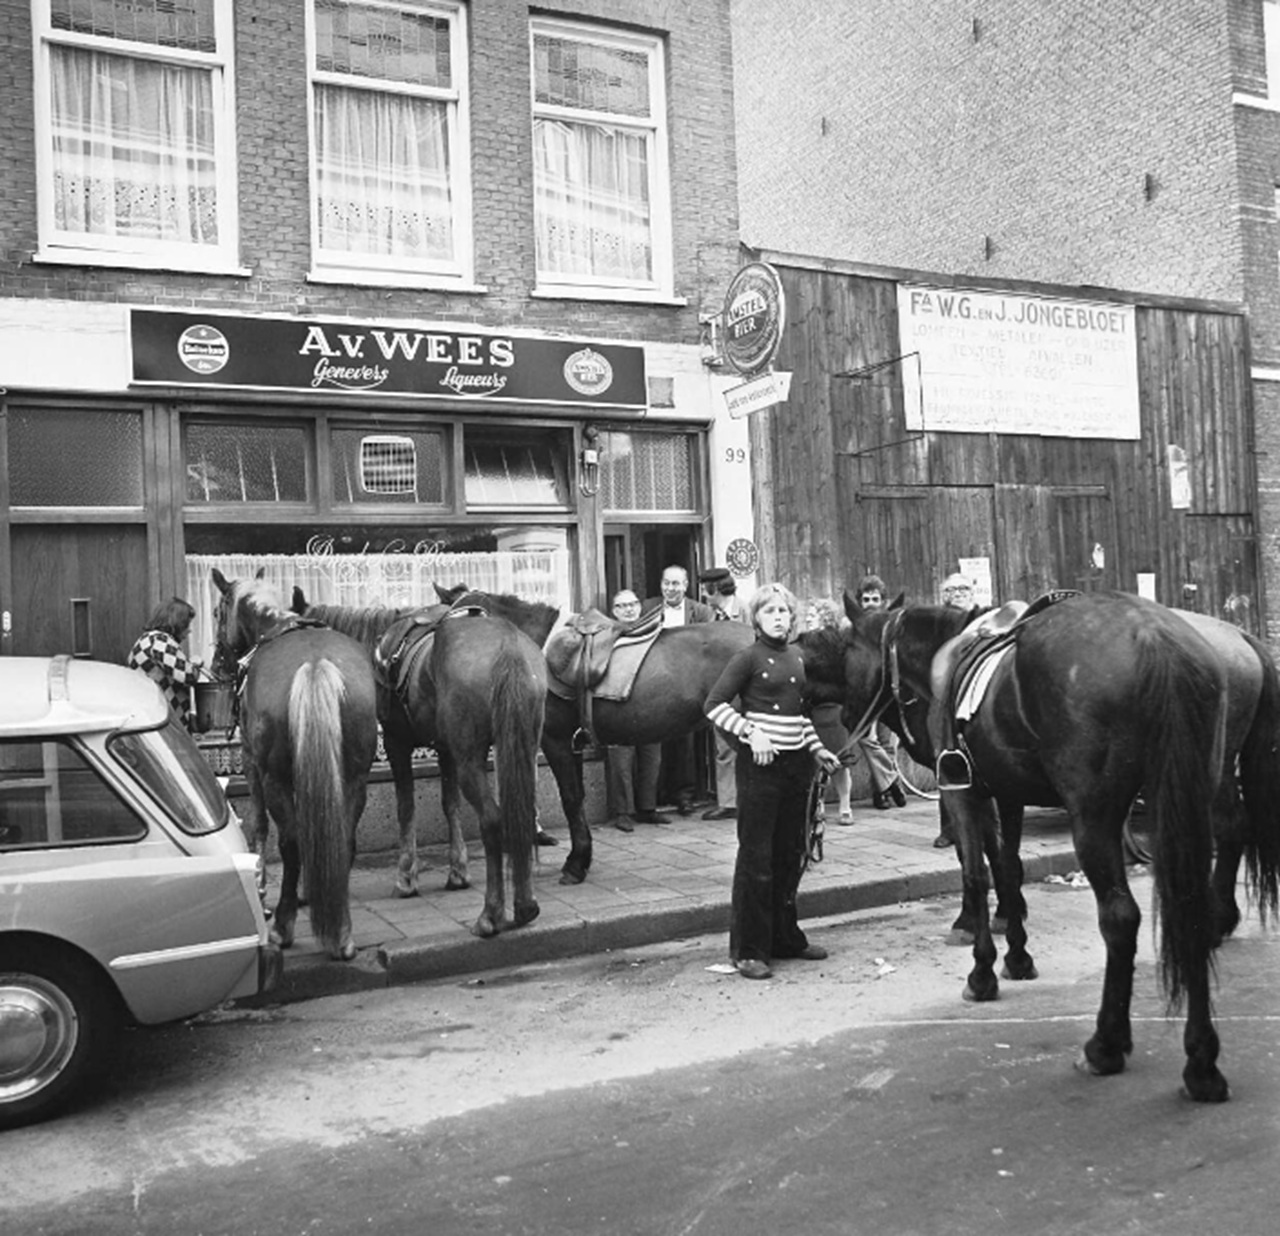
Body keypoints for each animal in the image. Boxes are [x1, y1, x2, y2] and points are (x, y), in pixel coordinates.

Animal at [209, 570, 376, 967]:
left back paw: (283, 926)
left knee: (291, 841)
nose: (216, 664)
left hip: (276, 778)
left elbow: (259, 824)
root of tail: (315, 664)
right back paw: (340, 928)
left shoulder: (251, 762)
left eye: (217, 612)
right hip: (354, 777)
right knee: (344, 838)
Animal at [293, 591, 552, 936]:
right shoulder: (446, 750)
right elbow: (450, 805)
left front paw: (406, 878)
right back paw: (525, 907)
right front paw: (457, 872)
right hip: (520, 745)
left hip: (471, 757)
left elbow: (406, 807)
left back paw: (490, 914)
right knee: (520, 813)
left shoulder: (396, 743)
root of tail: (507, 645)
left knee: (493, 820)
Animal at [440, 593, 752, 890]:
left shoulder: (556, 740)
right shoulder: (572, 743)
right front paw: (580, 858)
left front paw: (575, 864)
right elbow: (576, 797)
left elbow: (570, 799)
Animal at [839, 591, 1280, 1105]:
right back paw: (1202, 1058)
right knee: (1194, 890)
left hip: (1096, 815)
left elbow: (978, 874)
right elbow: (1008, 868)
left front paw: (983, 971)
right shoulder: (1007, 793)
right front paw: (1017, 954)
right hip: (1188, 794)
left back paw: (1107, 1044)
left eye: (847, 646)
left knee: (1121, 917)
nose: (845, 722)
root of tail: (1157, 638)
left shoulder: (964, 792)